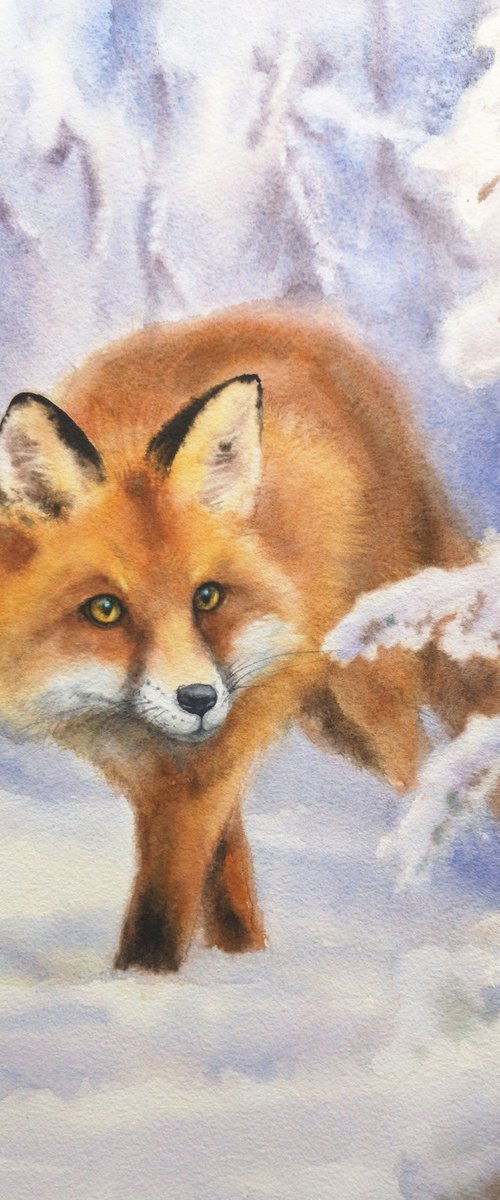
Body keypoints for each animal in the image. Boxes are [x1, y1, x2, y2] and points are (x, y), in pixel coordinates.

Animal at [0, 303, 497, 973]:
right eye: (105, 610)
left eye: (207, 597)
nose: (198, 699)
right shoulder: (159, 772)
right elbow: (211, 872)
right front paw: (233, 961)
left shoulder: (210, 760)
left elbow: (162, 909)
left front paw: (146, 983)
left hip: (367, 704)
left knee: (427, 763)